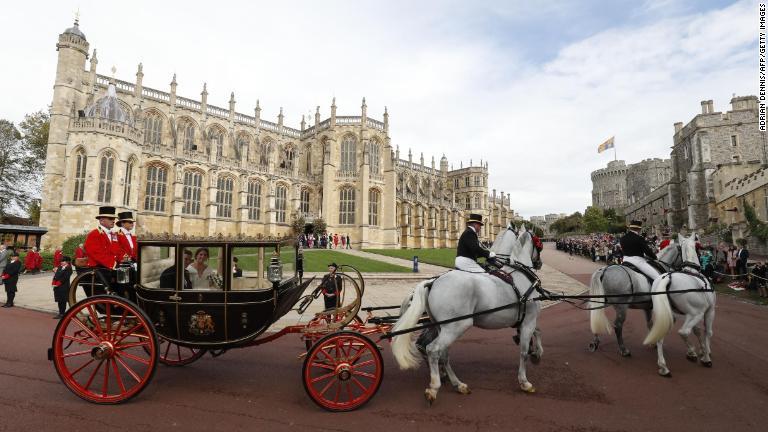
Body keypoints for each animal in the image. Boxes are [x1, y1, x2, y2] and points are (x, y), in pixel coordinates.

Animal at [392, 226, 544, 404]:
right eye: (539, 242)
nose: (539, 263)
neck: (519, 275)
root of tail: (433, 282)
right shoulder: (528, 320)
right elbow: (523, 351)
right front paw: (524, 381)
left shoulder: (526, 320)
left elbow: (537, 332)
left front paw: (537, 353)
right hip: (456, 326)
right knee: (432, 350)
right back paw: (434, 386)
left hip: (442, 328)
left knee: (442, 354)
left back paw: (457, 384)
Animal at [640, 233, 712, 374]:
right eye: (699, 246)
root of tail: (668, 278)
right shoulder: (708, 311)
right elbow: (707, 332)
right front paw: (705, 355)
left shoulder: (689, 315)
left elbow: (697, 330)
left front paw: (702, 350)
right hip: (696, 313)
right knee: (683, 332)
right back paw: (691, 353)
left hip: (667, 314)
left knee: (661, 332)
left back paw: (663, 366)